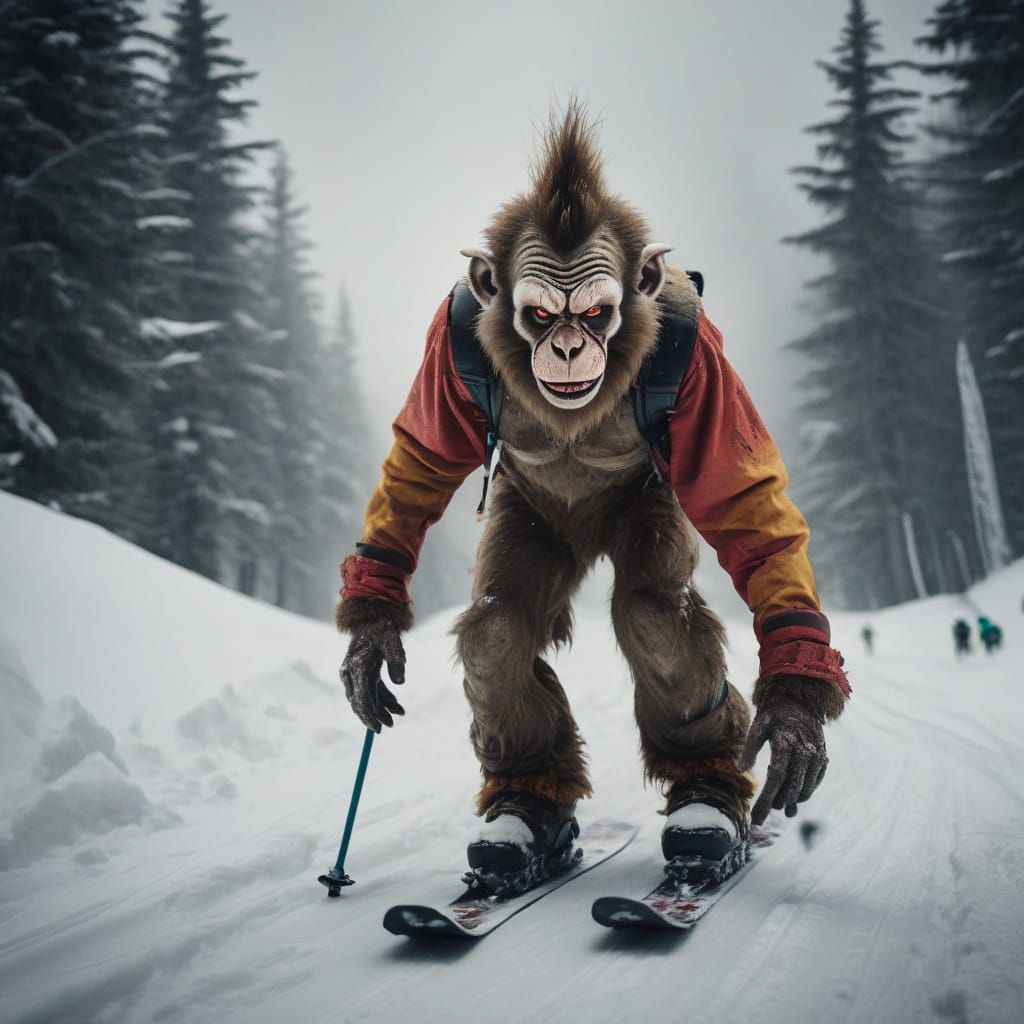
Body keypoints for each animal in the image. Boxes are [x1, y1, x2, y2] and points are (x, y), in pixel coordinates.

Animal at [337, 103, 849, 883]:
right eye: (544, 315)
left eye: (597, 312)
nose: (572, 347)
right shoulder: (446, 350)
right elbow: (419, 461)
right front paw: (370, 635)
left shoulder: (703, 370)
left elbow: (746, 505)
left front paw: (795, 715)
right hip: (526, 519)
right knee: (496, 628)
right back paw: (527, 816)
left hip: (650, 508)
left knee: (655, 616)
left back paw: (706, 811)